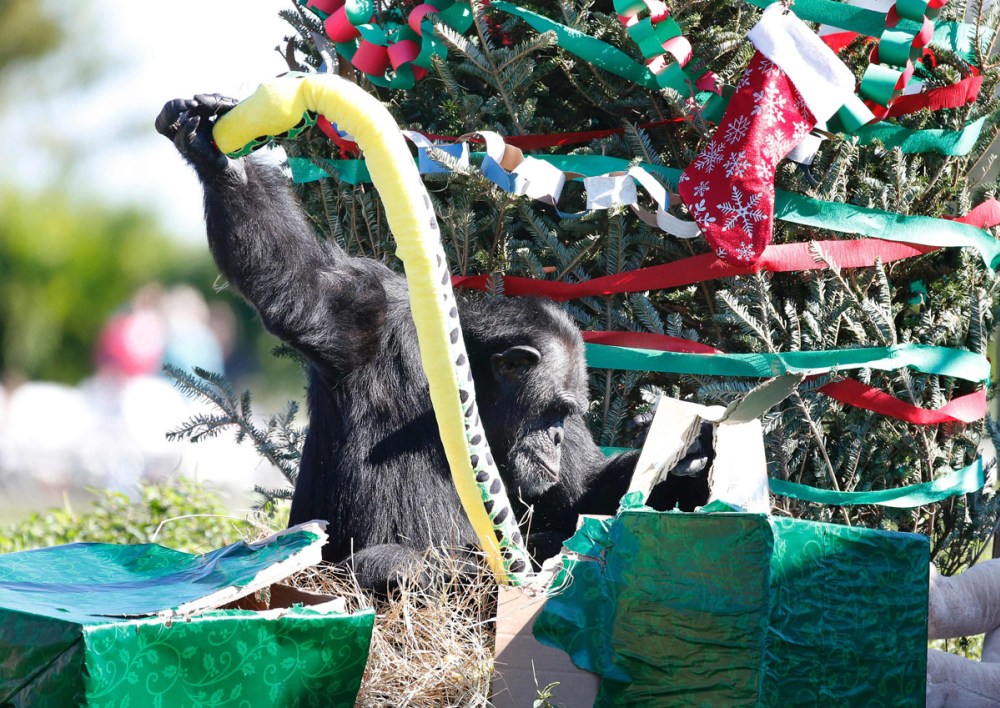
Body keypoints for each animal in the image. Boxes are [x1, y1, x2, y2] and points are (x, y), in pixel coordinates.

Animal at [156, 94, 704, 592]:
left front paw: (692, 460)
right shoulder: (365, 318)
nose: (554, 438)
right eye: (554, 412)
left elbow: (583, 494)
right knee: (384, 563)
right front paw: (220, 158)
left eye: (567, 417)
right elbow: (298, 282)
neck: (466, 382)